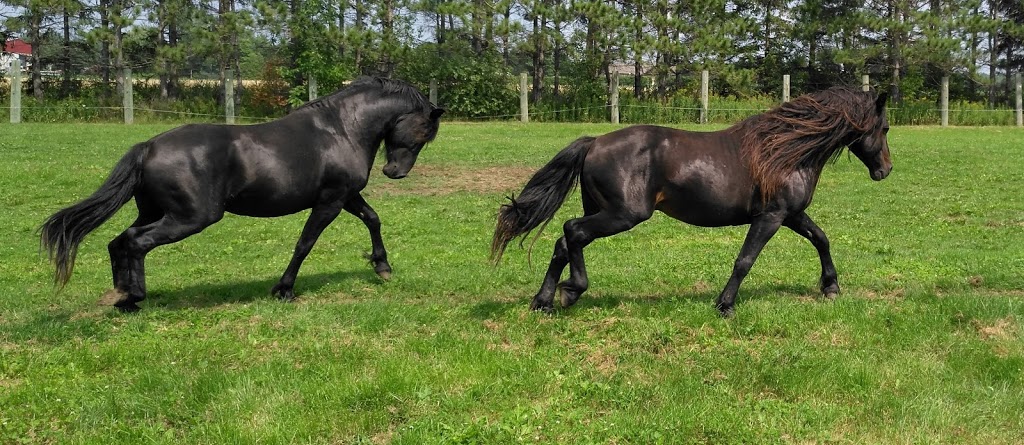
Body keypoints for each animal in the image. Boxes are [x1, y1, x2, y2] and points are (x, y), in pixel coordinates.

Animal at [41, 76, 442, 310]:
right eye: (423, 131)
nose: (395, 172)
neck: (340, 129)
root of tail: (149, 147)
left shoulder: (346, 196)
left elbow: (373, 219)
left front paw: (382, 266)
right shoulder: (330, 200)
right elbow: (305, 243)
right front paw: (283, 290)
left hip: (155, 211)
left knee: (119, 241)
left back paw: (123, 295)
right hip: (190, 217)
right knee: (137, 242)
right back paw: (134, 297)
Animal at [491, 87, 892, 317]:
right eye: (885, 128)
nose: (885, 170)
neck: (785, 152)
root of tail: (594, 142)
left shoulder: (791, 214)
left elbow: (821, 239)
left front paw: (831, 287)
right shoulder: (771, 216)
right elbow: (745, 260)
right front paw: (725, 306)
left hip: (602, 211)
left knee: (563, 242)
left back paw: (544, 302)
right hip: (623, 215)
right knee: (571, 231)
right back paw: (572, 291)